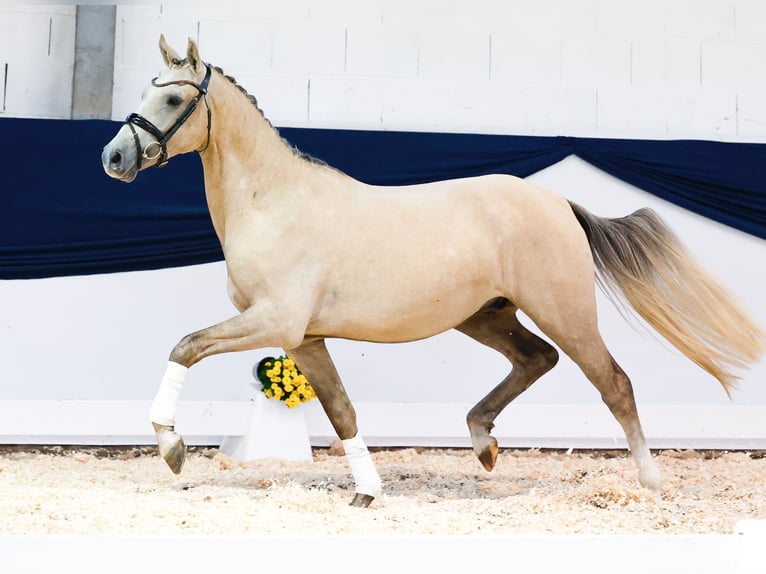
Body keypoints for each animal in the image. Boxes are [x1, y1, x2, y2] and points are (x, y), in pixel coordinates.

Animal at [103, 36, 766, 508]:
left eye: (172, 99)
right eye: (146, 90)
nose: (113, 157)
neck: (273, 203)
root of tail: (558, 203)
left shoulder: (276, 323)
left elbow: (185, 346)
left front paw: (172, 447)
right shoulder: (305, 338)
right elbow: (342, 412)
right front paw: (366, 492)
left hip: (566, 311)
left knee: (614, 383)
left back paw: (650, 484)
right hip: (485, 316)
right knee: (537, 359)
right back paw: (483, 443)